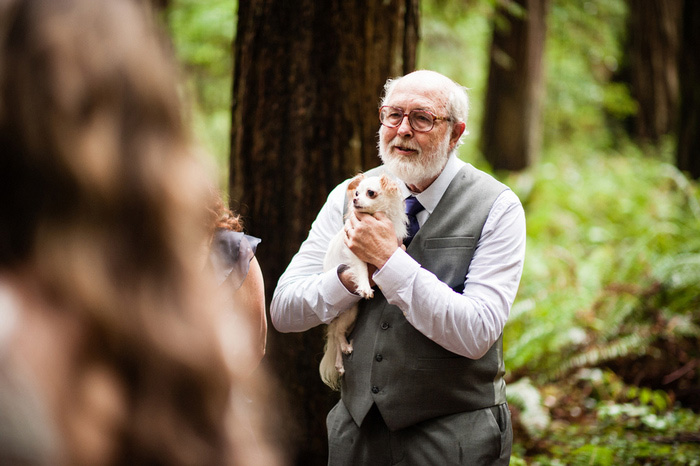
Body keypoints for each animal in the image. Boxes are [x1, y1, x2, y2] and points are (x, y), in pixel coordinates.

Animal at [320, 173, 408, 392]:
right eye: (356, 193)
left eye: (371, 193)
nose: (354, 200)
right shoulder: (355, 252)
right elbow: (360, 270)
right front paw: (366, 288)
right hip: (348, 312)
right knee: (336, 334)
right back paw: (343, 351)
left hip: (351, 314)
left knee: (338, 336)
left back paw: (341, 358)